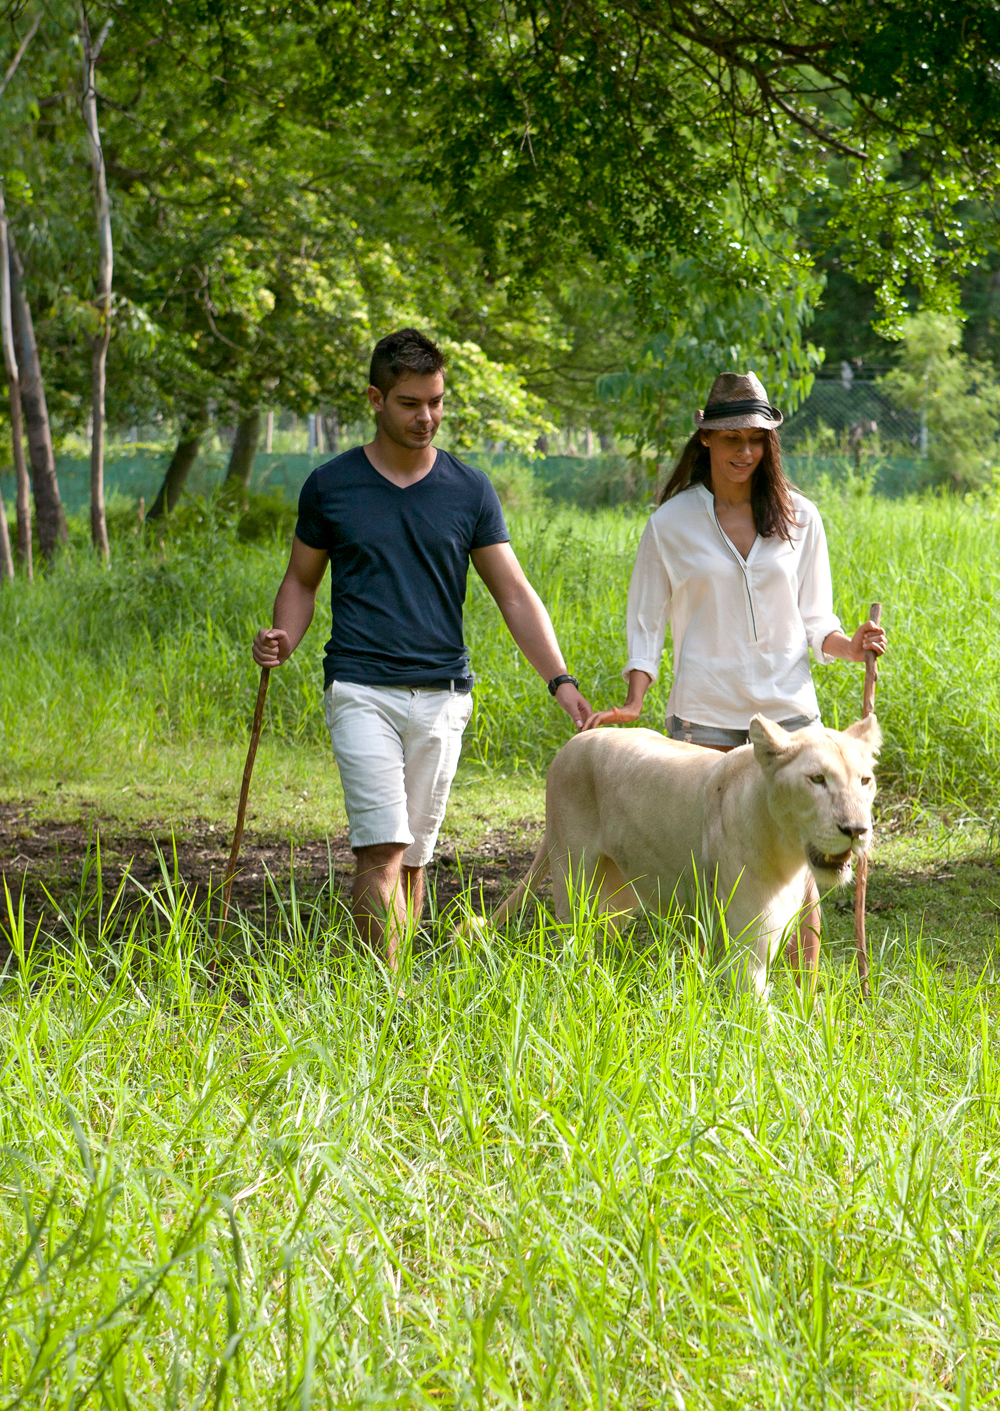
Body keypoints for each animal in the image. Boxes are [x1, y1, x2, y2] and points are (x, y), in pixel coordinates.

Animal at [496, 716, 880, 993]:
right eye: (817, 779)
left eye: (865, 781)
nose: (856, 830)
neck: (788, 854)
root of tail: (573, 742)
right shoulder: (746, 949)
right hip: (573, 882)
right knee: (572, 943)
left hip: (617, 895)